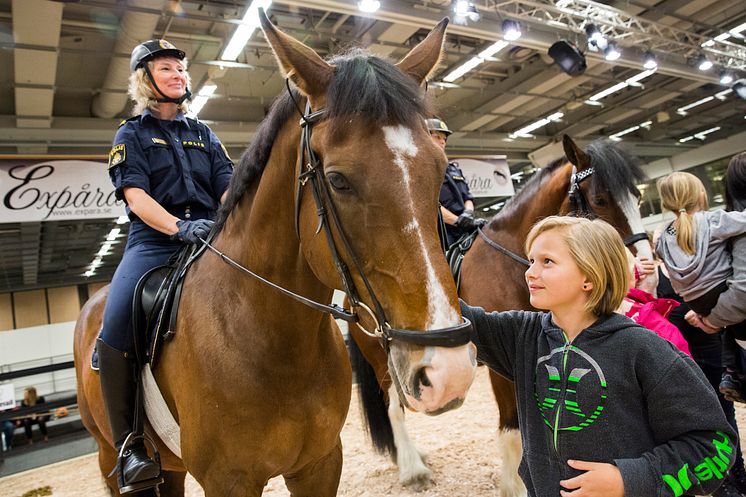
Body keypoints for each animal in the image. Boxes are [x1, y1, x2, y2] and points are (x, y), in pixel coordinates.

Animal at [72, 14, 474, 496]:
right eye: (337, 180)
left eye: (438, 170)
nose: (449, 371)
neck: (270, 339)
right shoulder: (229, 482)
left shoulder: (319, 463)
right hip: (108, 457)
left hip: (172, 468)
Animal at [348, 133, 644, 492]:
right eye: (600, 200)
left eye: (638, 196)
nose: (641, 265)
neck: (509, 265)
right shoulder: (502, 362)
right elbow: (511, 428)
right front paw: (513, 487)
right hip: (384, 360)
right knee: (394, 411)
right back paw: (413, 470)